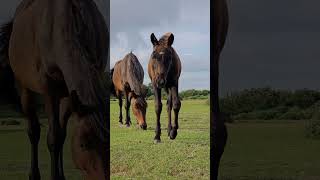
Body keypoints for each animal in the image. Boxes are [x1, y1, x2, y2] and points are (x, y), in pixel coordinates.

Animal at [0, 0, 109, 180]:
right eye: (83, 145)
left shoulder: (71, 95)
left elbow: (62, 135)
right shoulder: (49, 89)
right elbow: (53, 138)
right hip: (25, 89)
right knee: (33, 131)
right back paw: (34, 175)